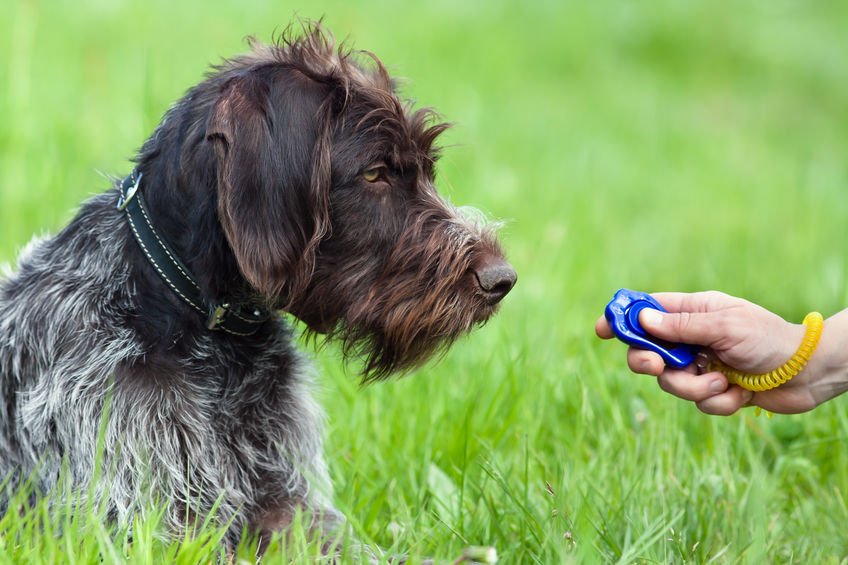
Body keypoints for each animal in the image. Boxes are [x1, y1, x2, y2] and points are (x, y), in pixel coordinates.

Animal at [0, 20, 516, 556]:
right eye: (375, 172)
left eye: (428, 171)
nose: (502, 278)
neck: (209, 337)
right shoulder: (149, 523)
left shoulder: (288, 502)